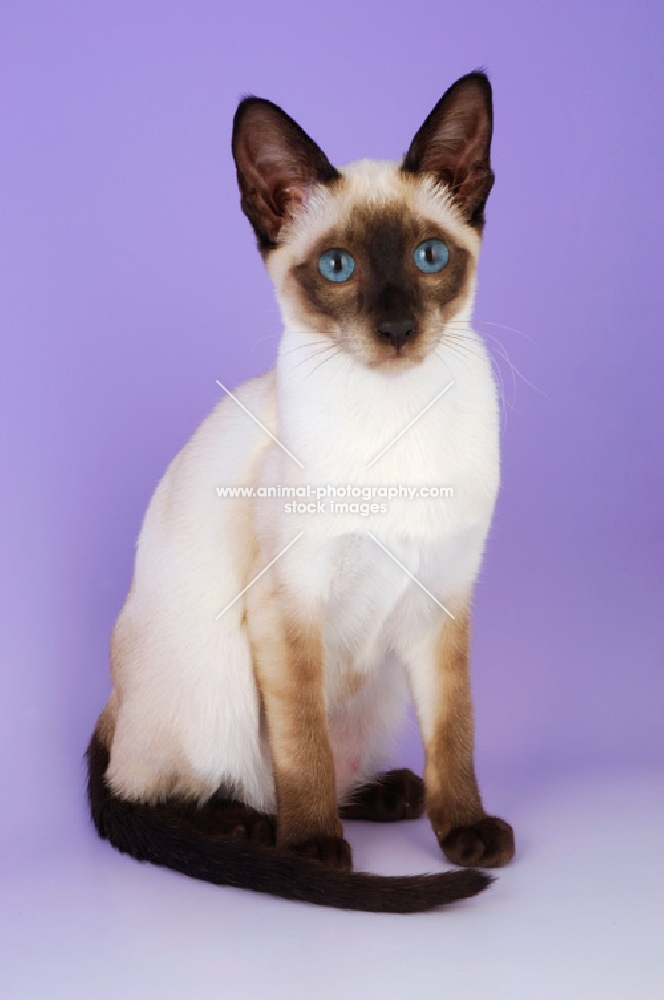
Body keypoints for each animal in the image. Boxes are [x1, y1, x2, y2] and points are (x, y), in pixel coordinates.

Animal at [87, 70, 512, 916]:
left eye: (430, 256)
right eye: (338, 268)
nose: (396, 329)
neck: (395, 420)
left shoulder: (444, 597)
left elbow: (455, 734)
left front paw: (465, 829)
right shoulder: (287, 607)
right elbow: (302, 746)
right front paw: (314, 851)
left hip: (378, 687)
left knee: (344, 764)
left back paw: (391, 792)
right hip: (216, 673)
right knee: (171, 785)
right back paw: (255, 829)